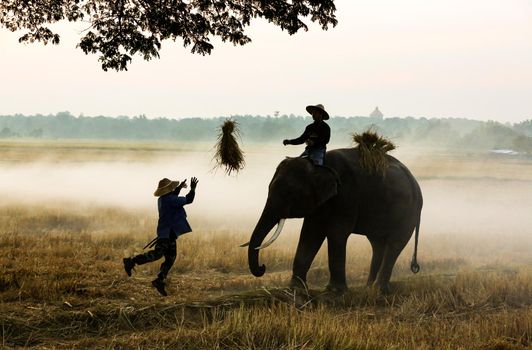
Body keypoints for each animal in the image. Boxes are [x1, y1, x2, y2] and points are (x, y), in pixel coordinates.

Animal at [245, 146, 424, 294]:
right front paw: (296, 289)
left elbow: (336, 233)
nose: (262, 267)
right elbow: (310, 234)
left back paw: (378, 289)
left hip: (409, 213)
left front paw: (335, 291)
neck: (317, 166)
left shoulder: (347, 196)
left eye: (290, 193)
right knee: (378, 244)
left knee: (395, 244)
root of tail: (415, 183)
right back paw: (368, 288)